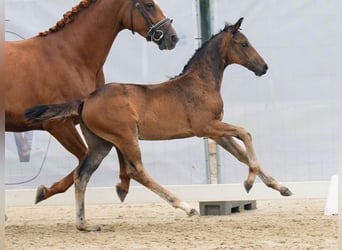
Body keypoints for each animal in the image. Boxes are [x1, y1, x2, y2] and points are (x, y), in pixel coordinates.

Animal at [25, 18, 292, 231]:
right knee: (137, 171)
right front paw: (248, 183)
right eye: (244, 43)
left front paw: (282, 188)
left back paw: (84, 224)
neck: (201, 82)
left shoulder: (216, 132)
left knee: (82, 175)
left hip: (101, 143)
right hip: (126, 137)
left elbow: (242, 154)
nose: (263, 67)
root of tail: (85, 99)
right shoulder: (205, 127)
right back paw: (185, 206)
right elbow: (246, 134)